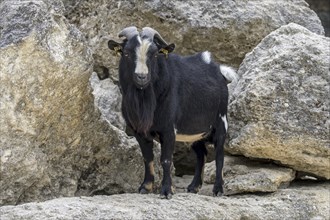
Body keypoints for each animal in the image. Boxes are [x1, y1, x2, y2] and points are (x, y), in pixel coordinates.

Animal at [107, 26, 236, 199]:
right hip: (195, 132)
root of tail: (219, 70)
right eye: (126, 53)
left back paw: (218, 189)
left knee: (219, 154)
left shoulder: (168, 129)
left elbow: (166, 159)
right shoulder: (139, 131)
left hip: (221, 121)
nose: (141, 77)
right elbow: (147, 158)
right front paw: (145, 187)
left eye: (154, 54)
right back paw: (193, 187)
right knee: (201, 153)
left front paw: (167, 191)